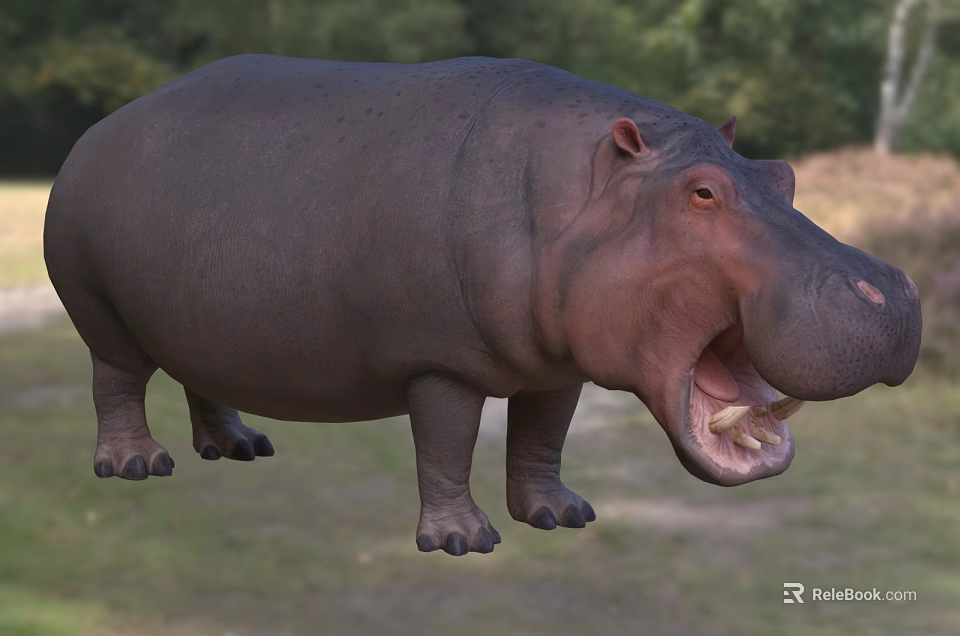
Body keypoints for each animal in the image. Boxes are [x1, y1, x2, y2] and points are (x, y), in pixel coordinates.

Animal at [43, 55, 922, 556]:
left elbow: (541, 436)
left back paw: (240, 448)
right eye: (702, 192)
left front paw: (562, 516)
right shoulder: (439, 359)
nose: (894, 291)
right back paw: (136, 465)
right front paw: (462, 542)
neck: (578, 188)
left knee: (202, 376)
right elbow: (447, 442)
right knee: (116, 382)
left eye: (783, 176)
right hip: (100, 310)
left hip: (204, 316)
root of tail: (97, 130)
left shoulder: (559, 364)